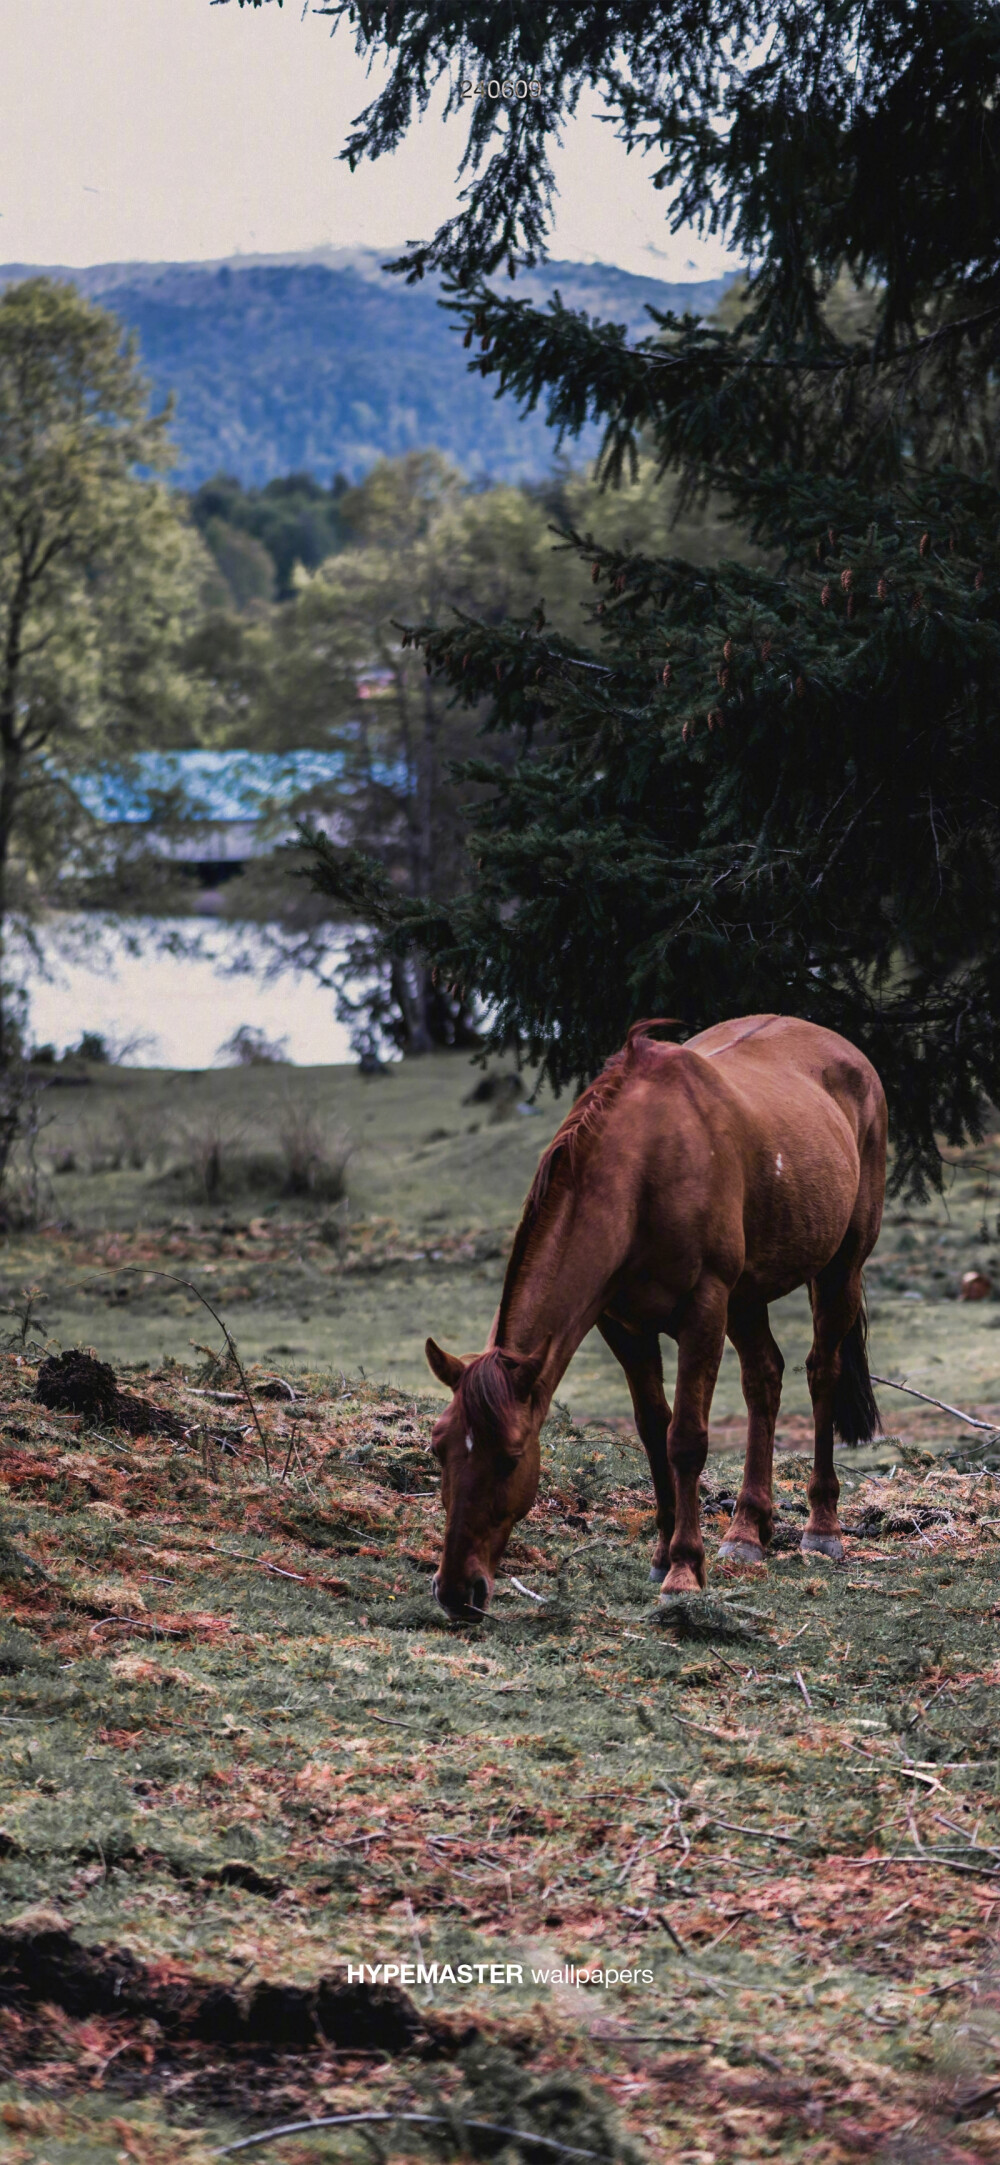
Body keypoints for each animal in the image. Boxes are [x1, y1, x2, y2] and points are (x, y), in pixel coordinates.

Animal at [422, 1021, 883, 1619]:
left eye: (510, 1458)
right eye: (439, 1448)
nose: (457, 1590)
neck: (644, 1169)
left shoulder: (704, 1309)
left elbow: (684, 1438)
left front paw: (685, 1571)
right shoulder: (623, 1327)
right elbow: (651, 1429)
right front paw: (664, 1555)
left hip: (838, 1269)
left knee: (821, 1371)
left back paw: (822, 1527)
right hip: (747, 1297)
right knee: (764, 1377)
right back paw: (746, 1530)